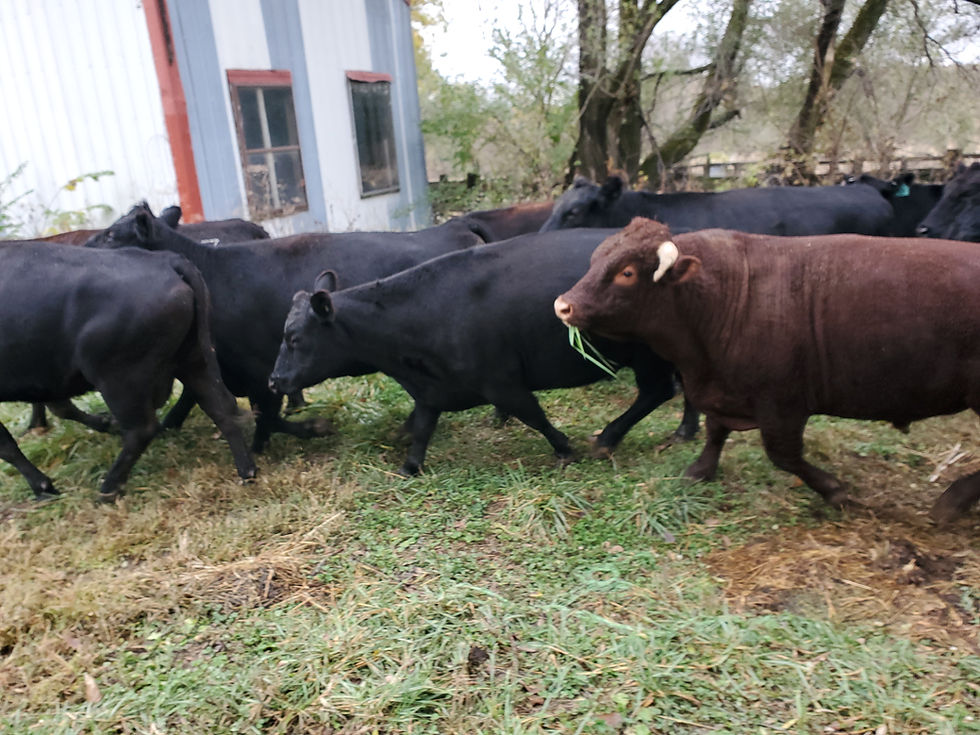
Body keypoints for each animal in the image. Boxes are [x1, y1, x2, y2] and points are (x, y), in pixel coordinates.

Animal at [0, 242, 256, 502]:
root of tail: (165, 260)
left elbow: (7, 446)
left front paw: (42, 486)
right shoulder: (48, 379)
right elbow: (61, 408)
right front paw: (106, 422)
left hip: (119, 379)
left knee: (141, 429)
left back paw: (108, 488)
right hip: (193, 359)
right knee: (220, 407)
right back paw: (246, 471)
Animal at [86, 203, 491, 452]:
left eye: (112, 235)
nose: (84, 246)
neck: (216, 273)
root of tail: (455, 226)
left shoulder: (259, 368)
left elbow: (267, 415)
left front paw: (307, 430)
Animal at [268, 228, 700, 476]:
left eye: (293, 337)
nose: (274, 381)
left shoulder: (502, 382)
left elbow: (535, 416)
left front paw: (565, 449)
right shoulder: (431, 390)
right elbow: (421, 428)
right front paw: (409, 466)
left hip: (648, 355)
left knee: (658, 391)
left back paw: (610, 437)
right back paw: (684, 431)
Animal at [554, 217, 980, 524]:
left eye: (626, 272)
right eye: (596, 259)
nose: (562, 305)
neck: (727, 298)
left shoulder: (783, 405)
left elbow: (783, 455)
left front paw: (833, 489)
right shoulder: (722, 390)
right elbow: (715, 431)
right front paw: (700, 470)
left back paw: (953, 501)